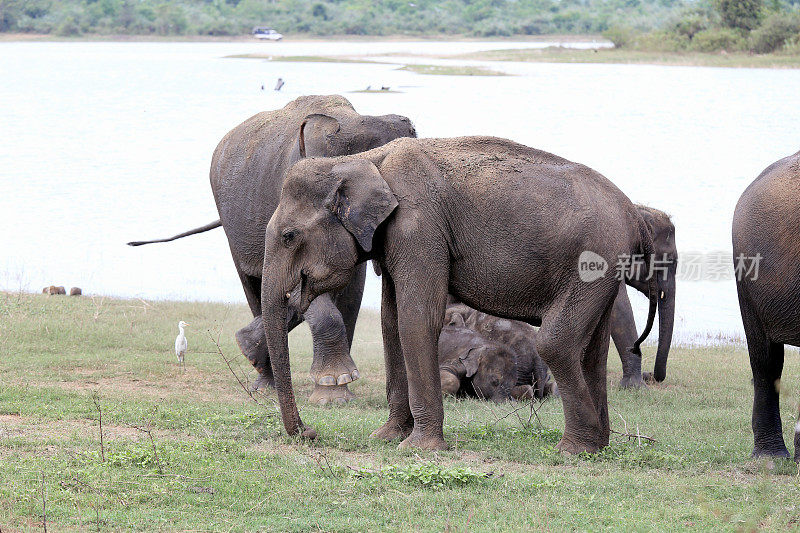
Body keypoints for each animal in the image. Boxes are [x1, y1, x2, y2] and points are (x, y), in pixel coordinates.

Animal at [128, 94, 416, 404]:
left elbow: (349, 290)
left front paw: (338, 389)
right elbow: (310, 289)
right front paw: (331, 391)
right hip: (232, 228)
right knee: (253, 286)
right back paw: (264, 379)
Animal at [260, 137, 656, 454]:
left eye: (289, 236)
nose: (309, 432)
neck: (365, 160)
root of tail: (633, 215)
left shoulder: (419, 228)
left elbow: (417, 318)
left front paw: (417, 448)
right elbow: (391, 323)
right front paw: (386, 438)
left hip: (591, 261)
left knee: (556, 343)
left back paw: (573, 449)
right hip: (603, 271)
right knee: (592, 349)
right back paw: (597, 445)